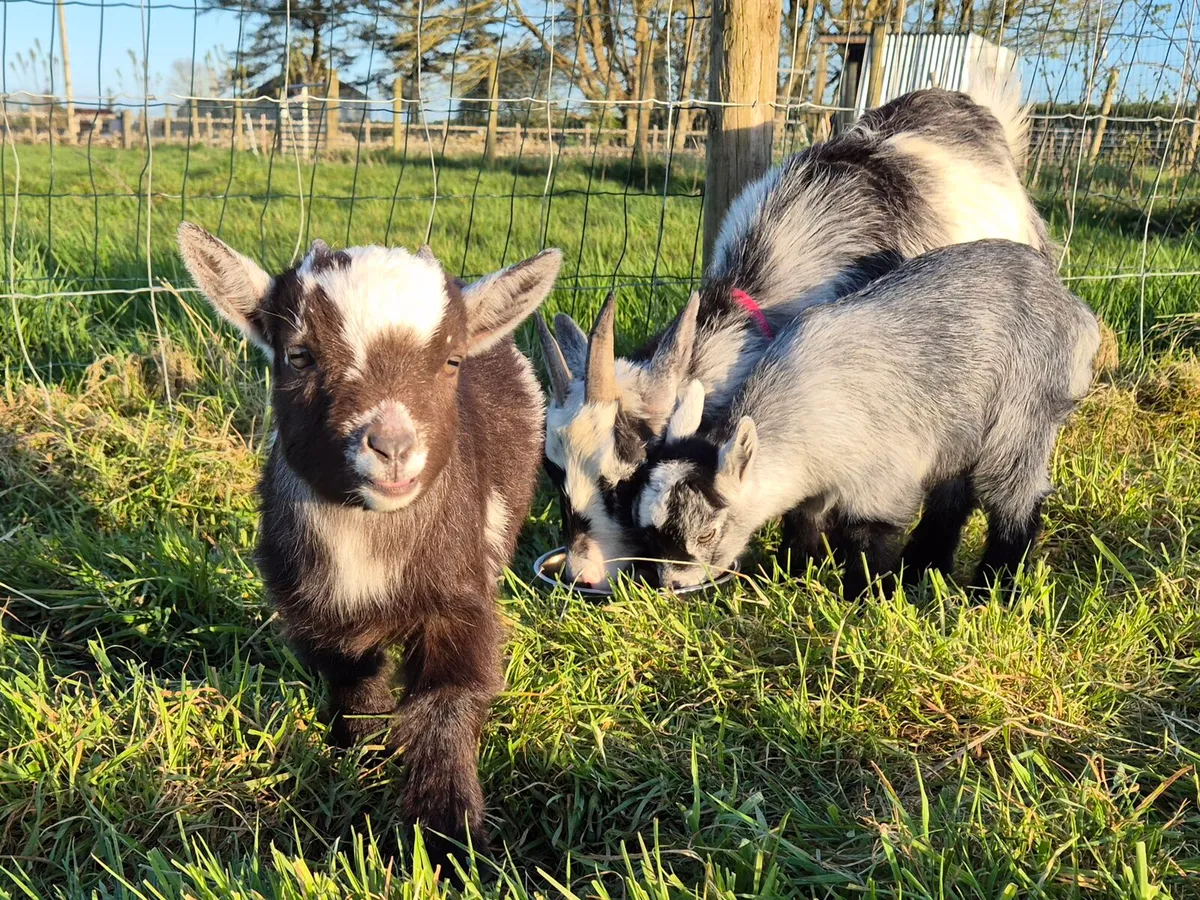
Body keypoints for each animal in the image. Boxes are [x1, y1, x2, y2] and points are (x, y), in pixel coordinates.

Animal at [177, 223, 561, 868]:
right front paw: (360, 751)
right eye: (300, 356)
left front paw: (449, 841)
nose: (392, 447)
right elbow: (351, 677)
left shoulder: (461, 597)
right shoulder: (308, 606)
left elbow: (449, 699)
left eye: (451, 360)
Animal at [628, 240, 1099, 597]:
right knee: (953, 496)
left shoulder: (881, 479)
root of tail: (1070, 303)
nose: (672, 585)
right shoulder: (815, 483)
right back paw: (923, 567)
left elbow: (870, 537)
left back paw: (992, 589)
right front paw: (791, 573)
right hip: (962, 425)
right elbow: (803, 521)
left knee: (1013, 497)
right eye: (647, 533)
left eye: (706, 535)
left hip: (1024, 409)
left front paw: (864, 598)